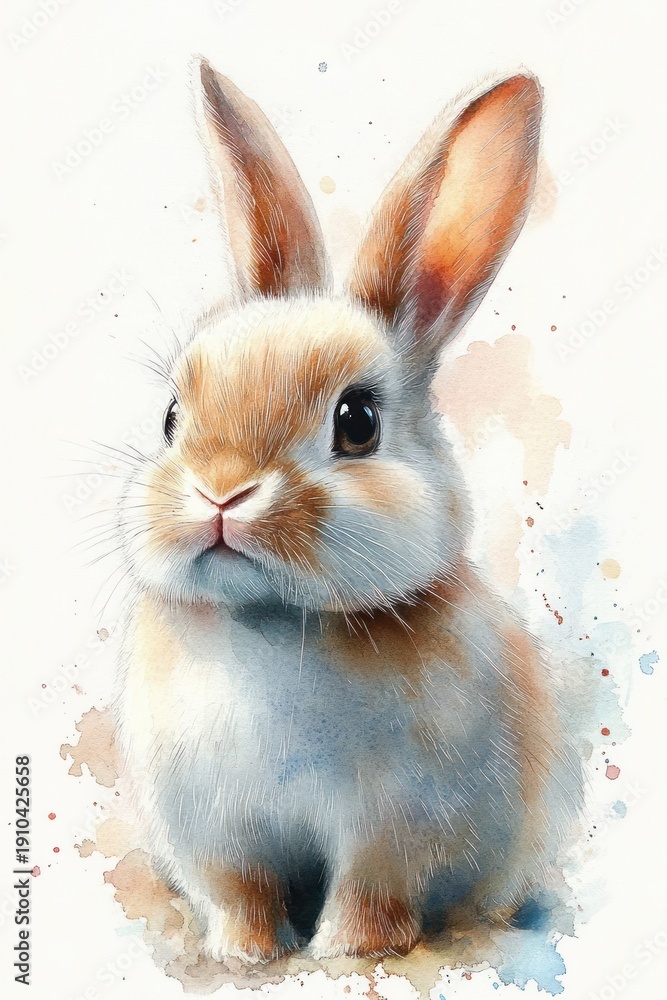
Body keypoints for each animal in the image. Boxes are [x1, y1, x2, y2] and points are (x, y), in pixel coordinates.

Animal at [112, 59, 582, 964]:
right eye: (172, 418)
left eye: (357, 421)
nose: (222, 491)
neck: (271, 622)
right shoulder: (218, 836)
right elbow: (240, 893)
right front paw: (247, 953)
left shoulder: (395, 831)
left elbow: (371, 892)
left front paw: (345, 950)